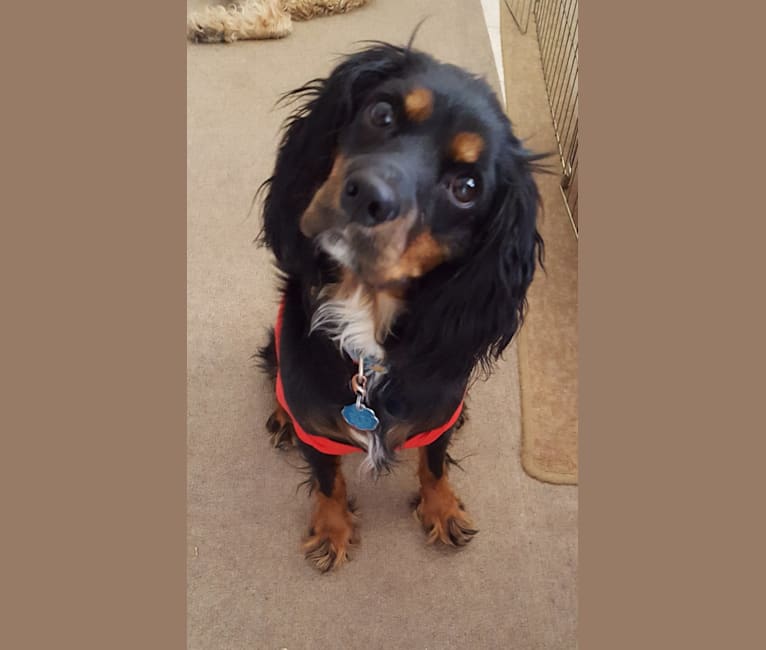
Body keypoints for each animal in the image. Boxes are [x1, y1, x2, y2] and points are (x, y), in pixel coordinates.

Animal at [260, 39, 544, 568]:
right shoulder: (317, 420)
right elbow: (327, 478)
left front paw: (442, 509)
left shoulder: (435, 412)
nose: (367, 196)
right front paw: (332, 530)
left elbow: (434, 462)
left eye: (467, 187)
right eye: (382, 113)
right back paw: (282, 417)